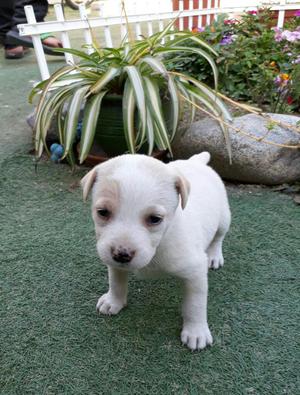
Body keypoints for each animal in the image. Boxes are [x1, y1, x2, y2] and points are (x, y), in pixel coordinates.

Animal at [81, 153, 231, 352]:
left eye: (155, 219)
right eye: (102, 212)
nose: (122, 254)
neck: (160, 244)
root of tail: (196, 161)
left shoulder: (195, 273)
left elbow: (195, 305)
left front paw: (196, 332)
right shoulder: (114, 263)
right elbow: (116, 281)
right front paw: (114, 301)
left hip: (224, 218)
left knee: (219, 237)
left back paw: (214, 256)